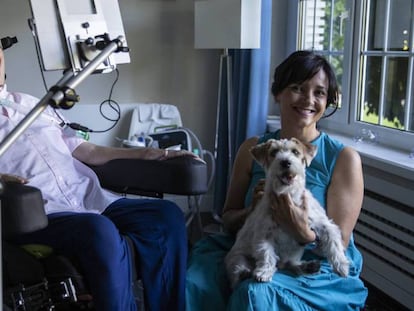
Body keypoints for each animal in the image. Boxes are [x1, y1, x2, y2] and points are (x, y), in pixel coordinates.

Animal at [225, 139, 348, 290]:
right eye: (273, 152)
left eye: (295, 152)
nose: (285, 162)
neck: (289, 195)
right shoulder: (264, 233)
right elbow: (266, 254)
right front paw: (264, 272)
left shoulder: (323, 223)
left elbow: (334, 242)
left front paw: (342, 265)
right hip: (237, 258)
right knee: (237, 275)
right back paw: (246, 273)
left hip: (291, 258)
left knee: (291, 265)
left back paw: (309, 266)